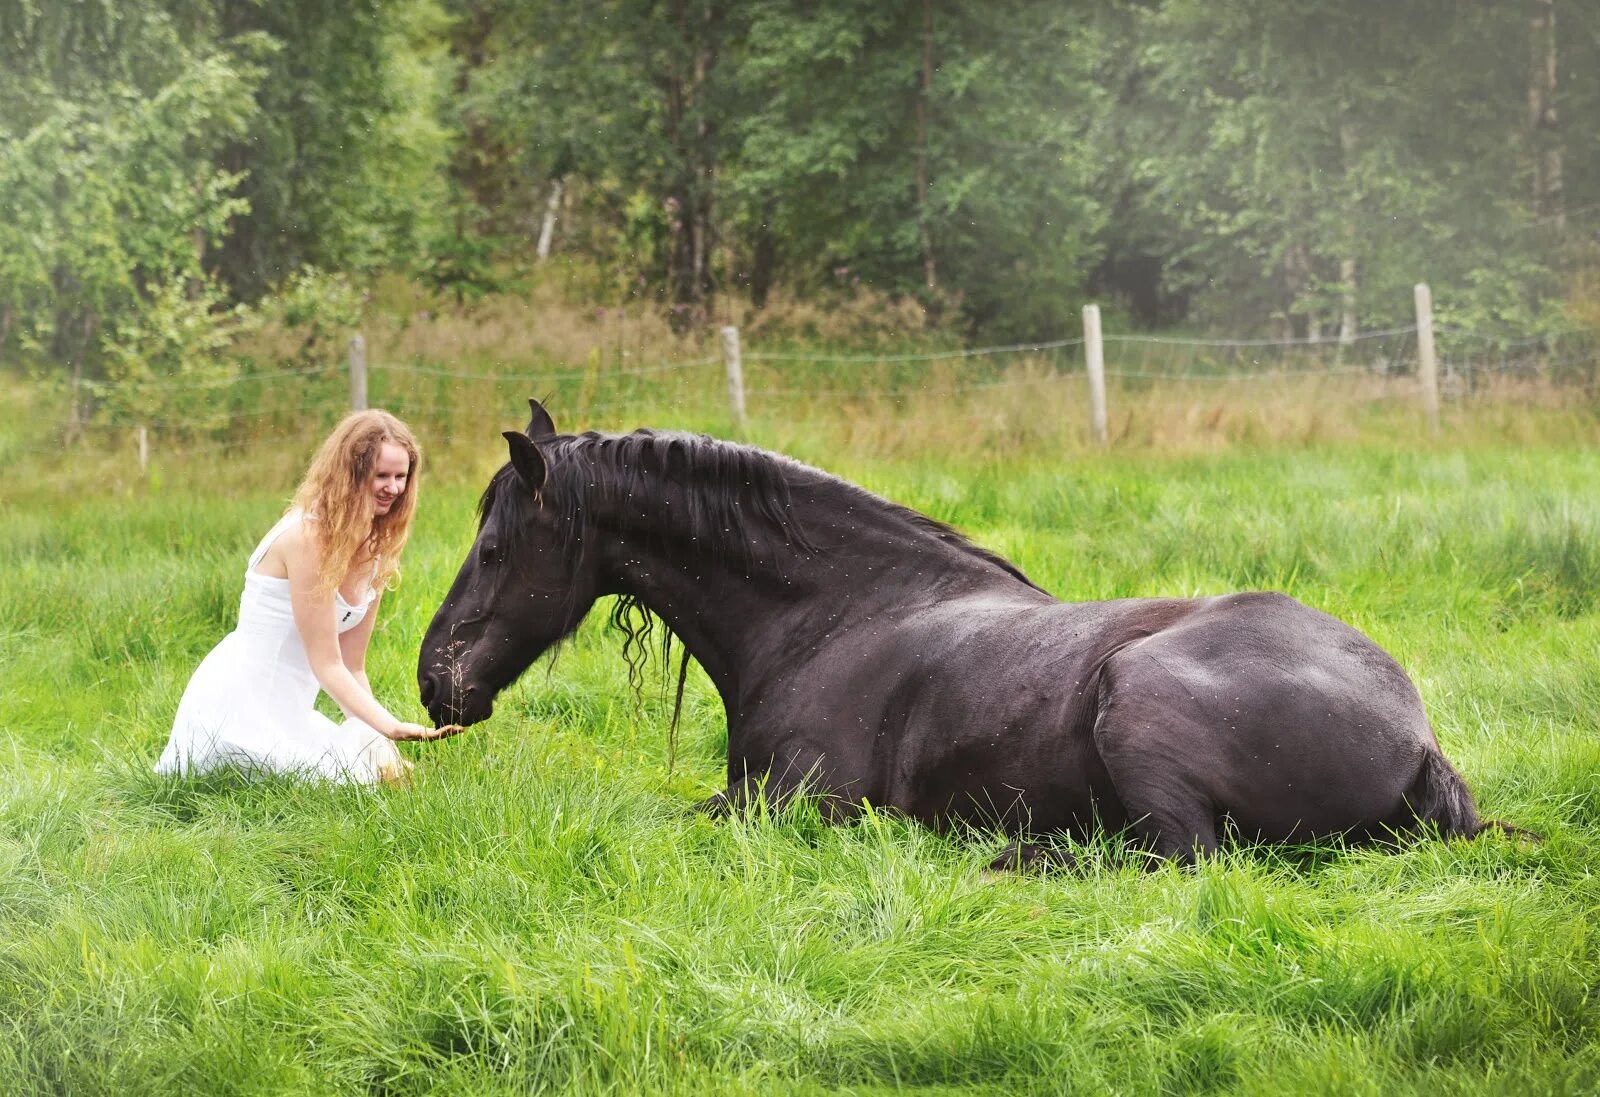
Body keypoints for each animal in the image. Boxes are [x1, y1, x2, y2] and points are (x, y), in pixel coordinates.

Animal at [416, 399, 1510, 869]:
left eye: (495, 545)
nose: (434, 676)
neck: (835, 616)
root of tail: (1415, 738)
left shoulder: (791, 805)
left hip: (1137, 707)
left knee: (1184, 858)